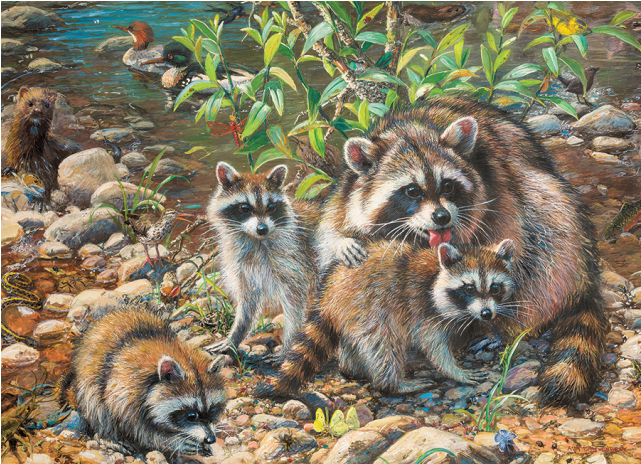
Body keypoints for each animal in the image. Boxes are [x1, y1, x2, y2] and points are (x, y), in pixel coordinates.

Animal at [59, 308, 226, 457]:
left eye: (212, 410)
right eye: (192, 415)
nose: (211, 439)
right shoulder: (124, 391)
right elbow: (138, 430)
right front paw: (173, 441)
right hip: (88, 380)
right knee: (96, 406)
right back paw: (106, 436)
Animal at [205, 162, 319, 359]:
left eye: (271, 207)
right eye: (244, 208)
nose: (262, 228)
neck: (256, 240)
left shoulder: (294, 261)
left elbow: (294, 303)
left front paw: (288, 345)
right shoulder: (243, 269)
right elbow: (247, 307)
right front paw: (234, 337)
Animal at [254, 239, 516, 398]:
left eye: (495, 288)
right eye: (469, 288)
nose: (487, 314)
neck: (437, 274)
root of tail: (329, 294)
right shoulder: (421, 308)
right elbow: (433, 345)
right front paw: (454, 369)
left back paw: (353, 368)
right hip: (370, 307)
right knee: (382, 343)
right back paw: (392, 383)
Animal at [315, 95, 609, 406]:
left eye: (447, 185)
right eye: (412, 191)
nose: (442, 217)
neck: (411, 130)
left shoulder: (498, 191)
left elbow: (512, 249)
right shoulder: (348, 190)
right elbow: (331, 226)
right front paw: (342, 241)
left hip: (557, 215)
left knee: (550, 242)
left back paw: (512, 324)